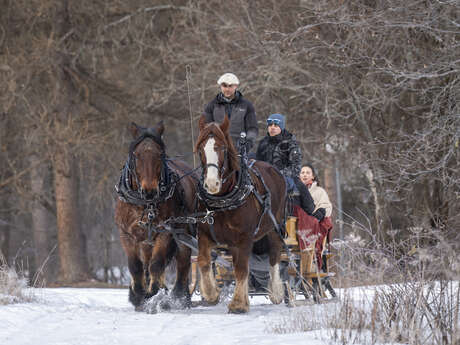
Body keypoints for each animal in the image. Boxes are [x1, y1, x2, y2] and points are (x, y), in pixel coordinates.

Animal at [115, 121, 196, 310]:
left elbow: (157, 264)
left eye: (160, 154)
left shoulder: (165, 233)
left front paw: (152, 293)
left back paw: (181, 297)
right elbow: (135, 266)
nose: (150, 191)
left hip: (184, 234)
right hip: (146, 240)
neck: (145, 204)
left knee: (183, 261)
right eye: (136, 155)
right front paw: (138, 294)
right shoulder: (126, 234)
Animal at [194, 115, 288, 312]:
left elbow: (241, 269)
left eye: (221, 148)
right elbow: (204, 261)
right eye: (200, 149)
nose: (212, 184)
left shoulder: (244, 237)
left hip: (275, 226)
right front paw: (211, 294)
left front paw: (238, 304)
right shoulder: (205, 234)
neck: (223, 200)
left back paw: (276, 291)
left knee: (275, 255)